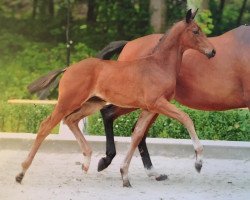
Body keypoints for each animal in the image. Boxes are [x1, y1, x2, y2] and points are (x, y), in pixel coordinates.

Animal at [16, 10, 215, 187]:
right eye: (195, 31)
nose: (212, 51)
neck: (159, 66)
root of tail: (68, 68)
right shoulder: (157, 103)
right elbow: (186, 118)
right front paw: (198, 161)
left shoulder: (149, 108)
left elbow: (137, 135)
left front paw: (124, 176)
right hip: (67, 102)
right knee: (46, 126)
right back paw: (21, 173)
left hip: (92, 104)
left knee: (71, 120)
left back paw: (87, 161)